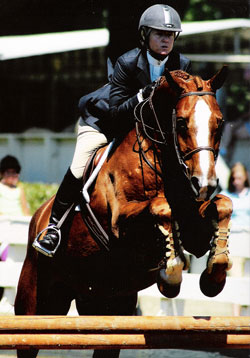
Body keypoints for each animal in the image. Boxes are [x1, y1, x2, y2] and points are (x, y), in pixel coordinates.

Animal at [14, 68, 232, 358]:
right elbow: (161, 208)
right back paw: (49, 238)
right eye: (182, 123)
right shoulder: (120, 223)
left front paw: (213, 275)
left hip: (110, 308)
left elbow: (223, 204)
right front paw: (171, 275)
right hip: (37, 306)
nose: (204, 183)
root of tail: (38, 217)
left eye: (219, 123)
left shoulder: (195, 224)